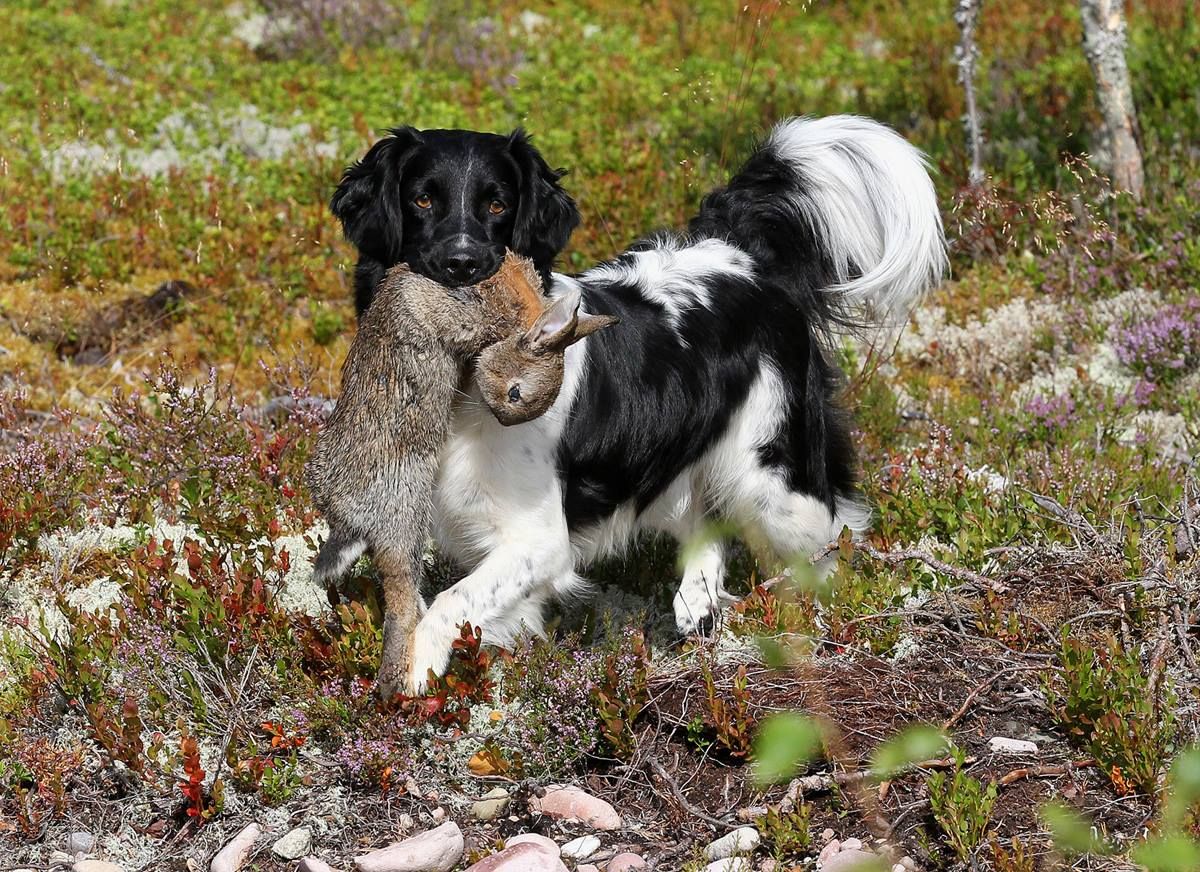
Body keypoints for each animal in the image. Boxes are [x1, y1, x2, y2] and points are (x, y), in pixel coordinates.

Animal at [328, 115, 945, 690]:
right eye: (422, 198)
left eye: (498, 204)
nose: (462, 265)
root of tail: (738, 253)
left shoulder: (541, 538)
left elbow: (448, 603)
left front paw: (414, 676)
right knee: (705, 523)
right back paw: (697, 605)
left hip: (777, 479)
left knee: (829, 547)